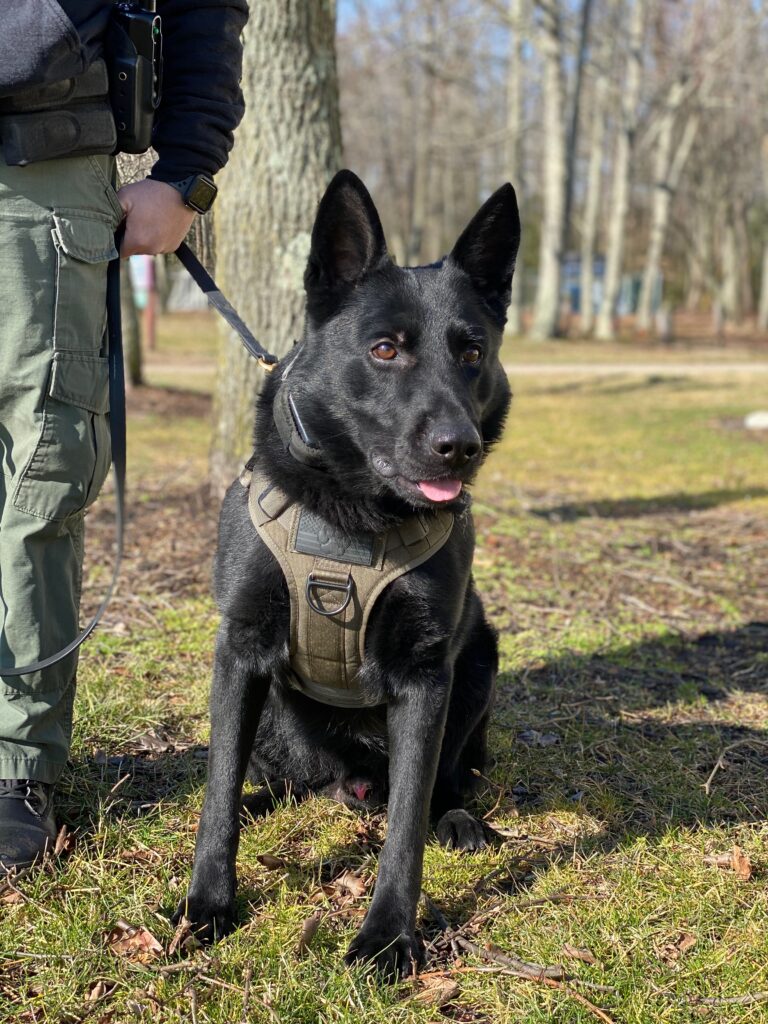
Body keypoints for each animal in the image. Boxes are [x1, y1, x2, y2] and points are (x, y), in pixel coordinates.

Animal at [174, 170, 520, 978]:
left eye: (472, 352)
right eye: (385, 349)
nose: (458, 446)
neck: (355, 515)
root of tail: (351, 779)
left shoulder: (426, 675)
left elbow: (406, 827)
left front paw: (389, 934)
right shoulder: (241, 650)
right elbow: (217, 793)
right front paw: (209, 905)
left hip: (478, 660)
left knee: (438, 784)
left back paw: (458, 818)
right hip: (278, 716)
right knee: (270, 780)